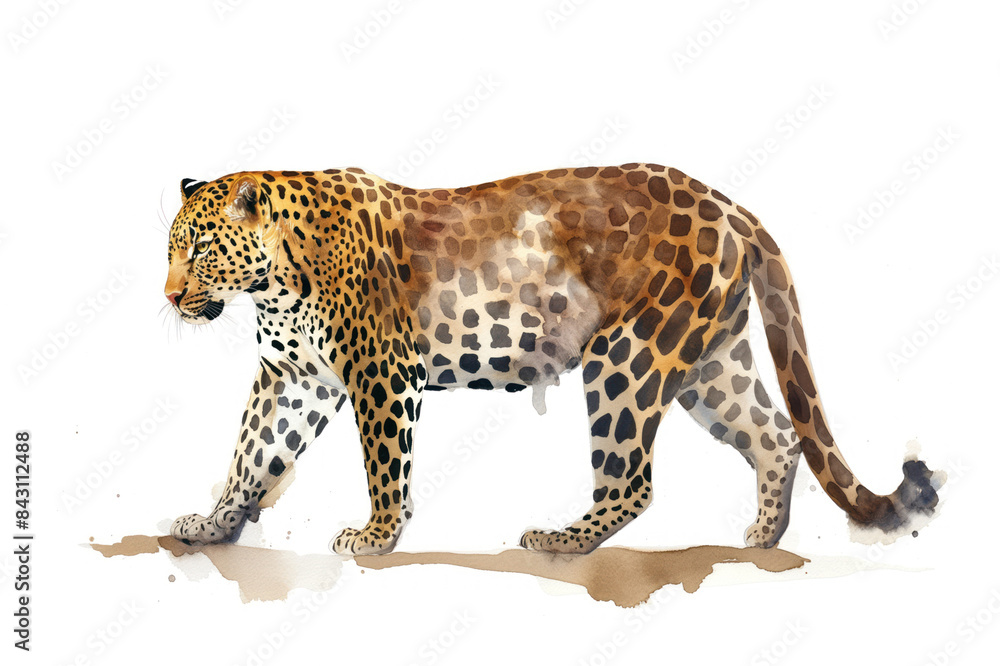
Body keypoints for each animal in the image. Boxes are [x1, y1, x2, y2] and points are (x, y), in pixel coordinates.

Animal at [164, 163, 940, 555]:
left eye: (198, 249)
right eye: (172, 248)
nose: (169, 297)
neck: (271, 284)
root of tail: (728, 205)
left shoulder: (380, 373)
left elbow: (383, 461)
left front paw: (377, 534)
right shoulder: (294, 378)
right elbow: (251, 452)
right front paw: (214, 524)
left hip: (631, 355)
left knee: (633, 481)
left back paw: (562, 538)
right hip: (708, 360)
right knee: (776, 434)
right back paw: (762, 536)